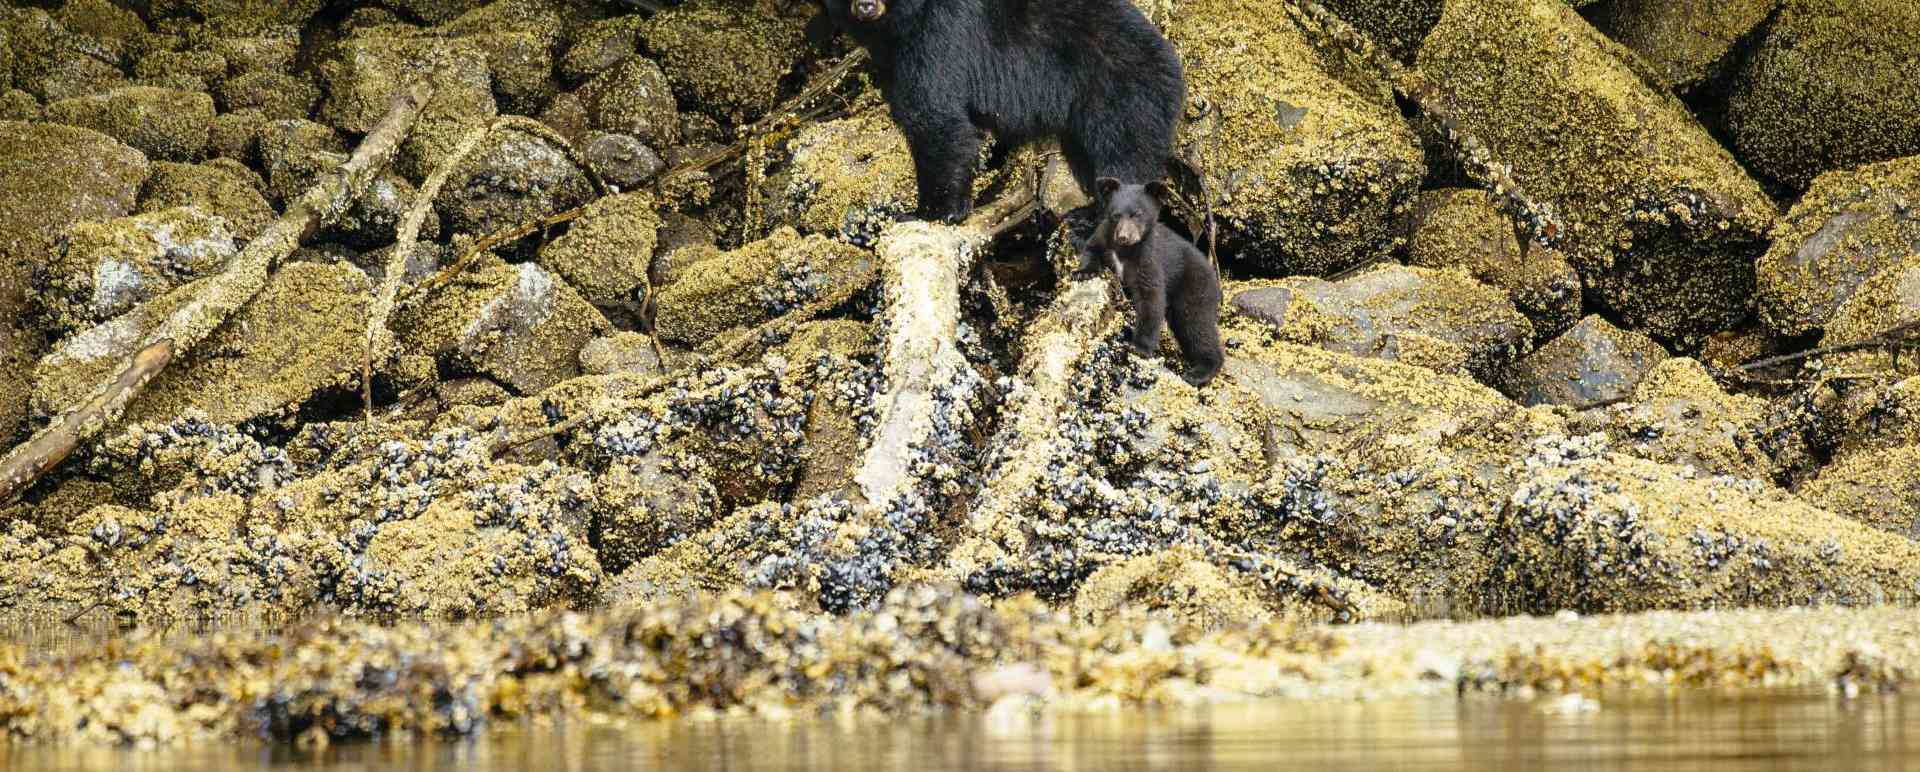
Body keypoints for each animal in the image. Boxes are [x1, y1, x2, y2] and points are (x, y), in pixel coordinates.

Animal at [815, 0, 1186, 228]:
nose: (866, 5)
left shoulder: (934, 39)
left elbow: (937, 120)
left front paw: (929, 213)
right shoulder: (891, 59)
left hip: (1121, 97)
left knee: (1123, 156)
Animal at [1087, 177, 1223, 387]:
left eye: (1138, 214)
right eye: (1116, 215)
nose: (1123, 237)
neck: (1126, 251)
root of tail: (1213, 274)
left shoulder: (1149, 259)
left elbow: (1151, 298)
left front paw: (1139, 347)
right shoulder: (1104, 236)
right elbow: (1091, 248)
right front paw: (1082, 272)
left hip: (1194, 288)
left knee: (1197, 326)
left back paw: (1199, 372)